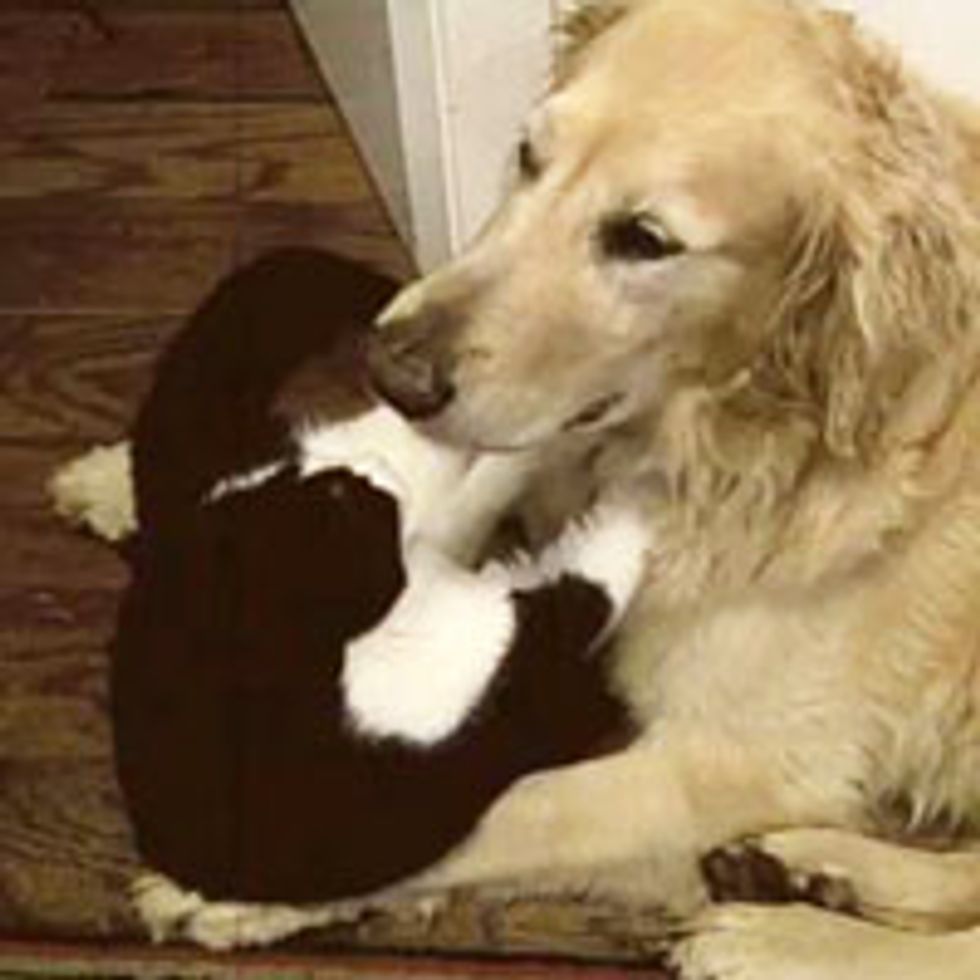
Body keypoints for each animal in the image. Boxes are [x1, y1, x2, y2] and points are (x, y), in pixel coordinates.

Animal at [55, 0, 980, 976]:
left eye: (645, 240)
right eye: (530, 155)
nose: (391, 371)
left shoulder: (731, 762)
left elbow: (499, 808)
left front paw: (236, 883)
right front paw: (122, 479)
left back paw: (780, 939)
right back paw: (811, 869)